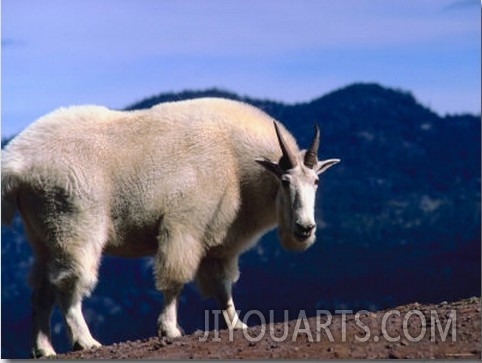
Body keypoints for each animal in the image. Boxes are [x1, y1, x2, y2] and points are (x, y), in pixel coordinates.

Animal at [0, 97, 338, 358]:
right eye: (285, 181)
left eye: (316, 182)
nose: (305, 228)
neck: (236, 165)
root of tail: (16, 163)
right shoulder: (183, 227)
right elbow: (174, 280)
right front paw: (170, 328)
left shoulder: (218, 246)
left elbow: (222, 287)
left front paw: (237, 324)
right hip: (74, 227)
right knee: (69, 284)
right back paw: (85, 341)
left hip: (43, 236)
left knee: (41, 290)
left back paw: (44, 349)